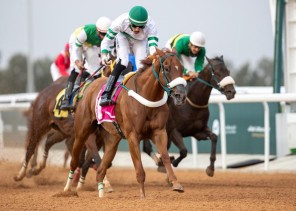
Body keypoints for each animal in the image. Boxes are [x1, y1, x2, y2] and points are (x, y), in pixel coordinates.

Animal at [64, 48, 187, 198]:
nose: (181, 95)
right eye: (167, 68)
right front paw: (142, 195)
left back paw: (102, 194)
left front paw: (176, 183)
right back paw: (67, 190)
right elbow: (139, 167)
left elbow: (165, 156)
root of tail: (89, 87)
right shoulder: (132, 136)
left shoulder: (159, 132)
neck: (147, 96)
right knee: (74, 161)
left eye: (182, 68)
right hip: (82, 132)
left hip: (112, 139)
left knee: (100, 170)